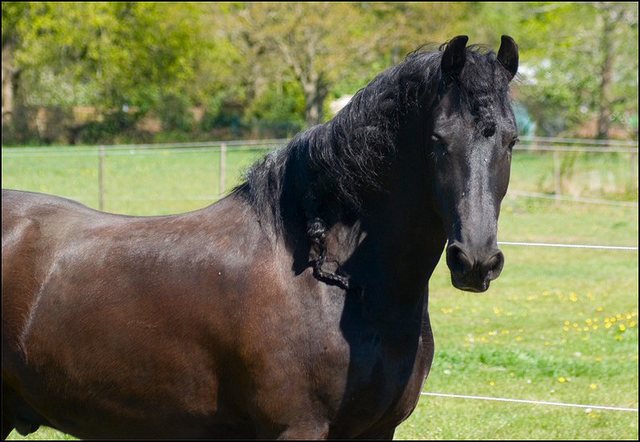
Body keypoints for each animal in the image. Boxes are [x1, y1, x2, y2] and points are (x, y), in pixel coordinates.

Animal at [2, 36, 516, 440]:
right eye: (437, 140)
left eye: (510, 141)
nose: (475, 261)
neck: (333, 282)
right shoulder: (297, 429)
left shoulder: (378, 430)